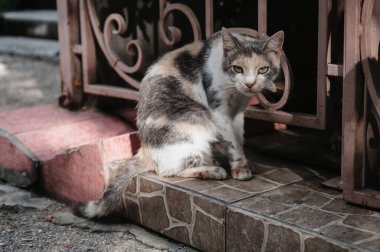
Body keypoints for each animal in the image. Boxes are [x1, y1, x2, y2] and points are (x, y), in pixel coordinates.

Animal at [72, 26, 284, 218]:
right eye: (237, 68)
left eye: (263, 69)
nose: (249, 83)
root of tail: (144, 150)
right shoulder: (218, 111)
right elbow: (232, 142)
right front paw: (240, 169)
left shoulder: (238, 113)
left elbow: (239, 138)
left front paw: (244, 163)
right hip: (196, 116)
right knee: (167, 170)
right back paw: (212, 170)